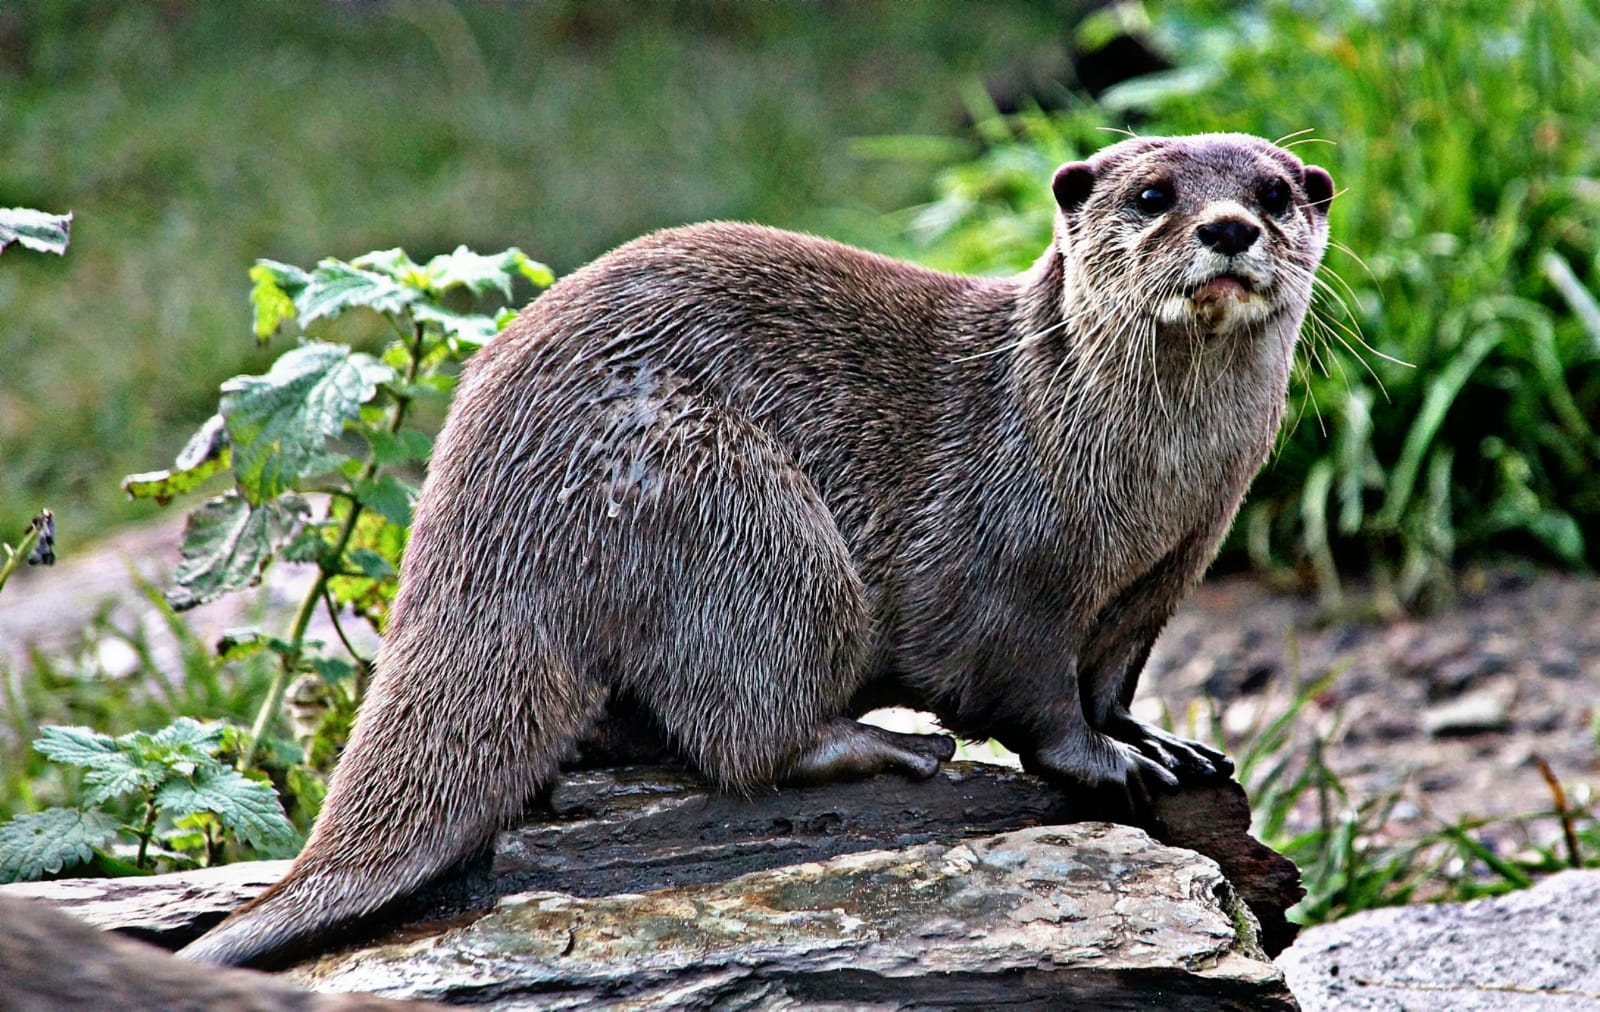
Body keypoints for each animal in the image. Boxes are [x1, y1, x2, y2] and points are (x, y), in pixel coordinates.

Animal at [181, 132, 1331, 967]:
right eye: (1152, 193)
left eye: (1277, 192)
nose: (1230, 226)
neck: (1131, 471)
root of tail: (472, 518)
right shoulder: (1014, 570)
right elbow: (1035, 697)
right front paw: (1102, 761)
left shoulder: (1165, 574)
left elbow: (1111, 676)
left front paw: (1157, 741)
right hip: (736, 515)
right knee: (739, 734)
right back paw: (881, 746)